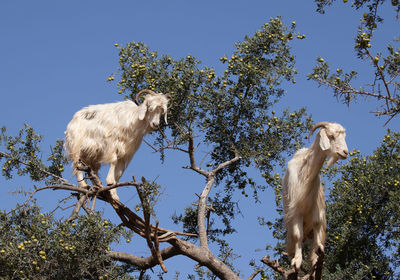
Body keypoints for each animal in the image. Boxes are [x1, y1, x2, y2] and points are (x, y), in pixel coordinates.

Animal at [282, 121, 346, 272]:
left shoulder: (317, 208)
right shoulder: (295, 211)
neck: (305, 173)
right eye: (331, 136)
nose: (345, 152)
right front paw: (297, 261)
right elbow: (298, 235)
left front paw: (316, 259)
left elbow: (317, 227)